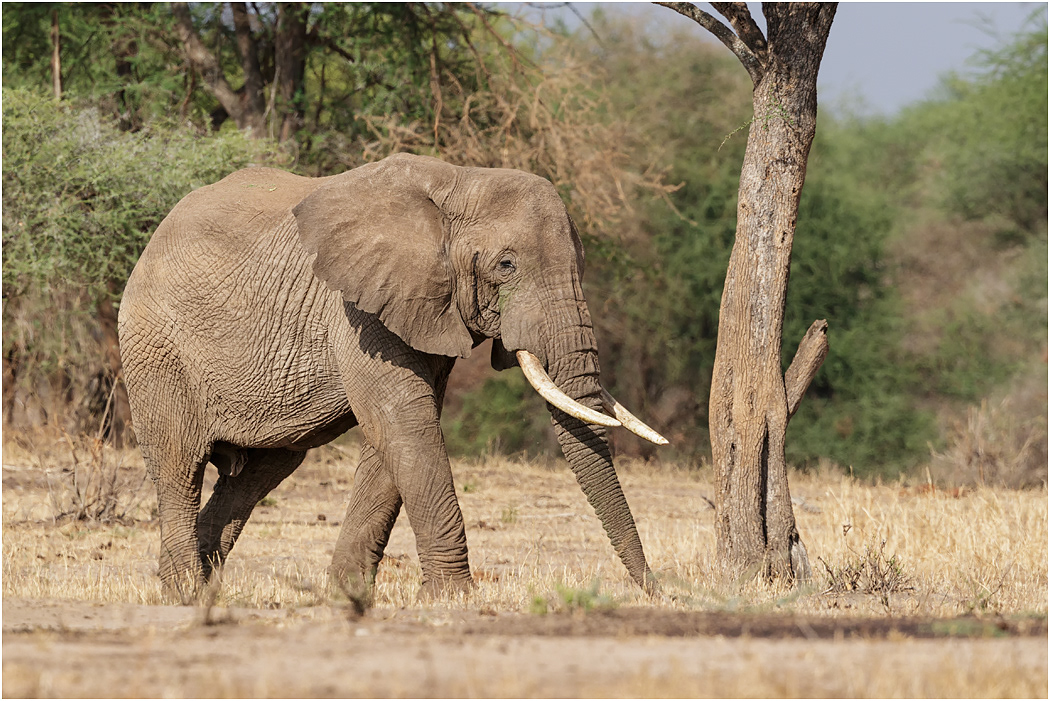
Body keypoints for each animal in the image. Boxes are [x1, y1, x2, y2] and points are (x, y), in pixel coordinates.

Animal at [117, 152, 667, 603]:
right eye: (506, 265)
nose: (655, 589)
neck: (459, 181)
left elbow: (396, 436)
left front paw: (348, 596)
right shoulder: (358, 310)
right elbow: (404, 422)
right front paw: (453, 599)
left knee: (256, 475)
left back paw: (200, 589)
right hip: (157, 350)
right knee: (179, 466)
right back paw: (184, 593)